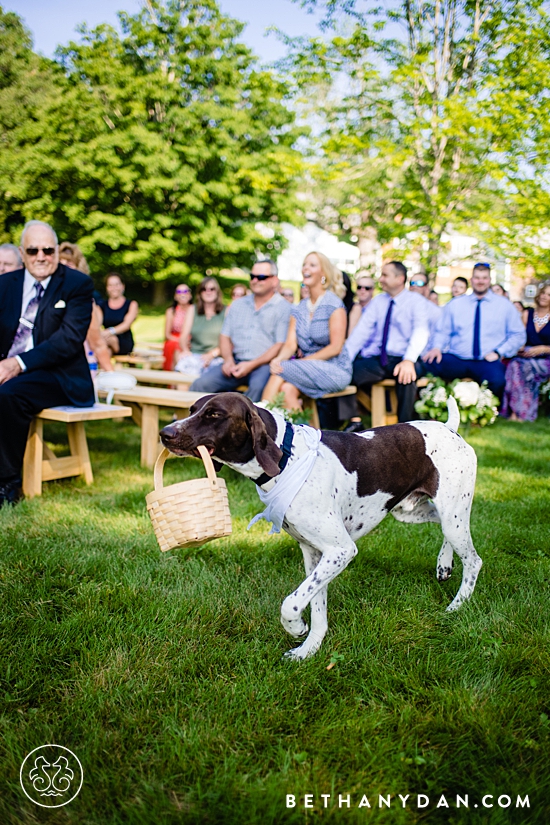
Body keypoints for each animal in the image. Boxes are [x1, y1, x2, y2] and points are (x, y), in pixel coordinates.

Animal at [160, 396, 484, 660]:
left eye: (214, 414)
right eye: (191, 410)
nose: (165, 433)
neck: (287, 456)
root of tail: (449, 428)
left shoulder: (340, 551)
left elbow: (290, 604)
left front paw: (295, 629)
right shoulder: (315, 554)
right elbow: (316, 607)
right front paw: (309, 649)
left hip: (452, 515)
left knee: (473, 560)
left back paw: (457, 606)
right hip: (415, 512)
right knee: (446, 532)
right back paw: (444, 563)